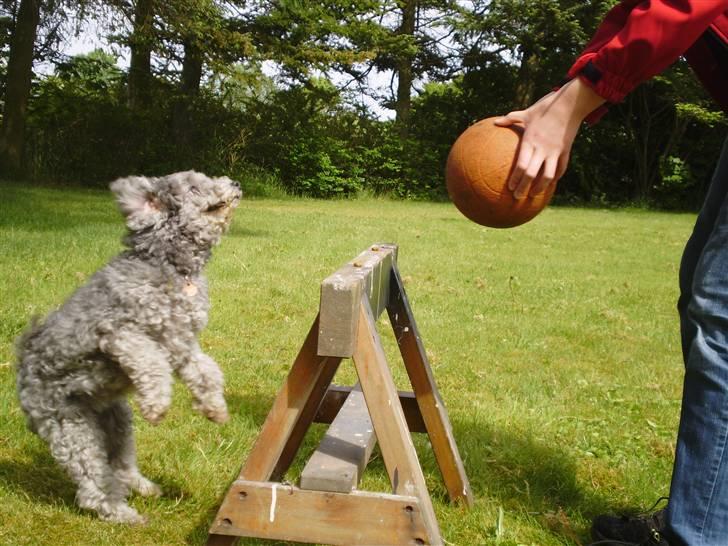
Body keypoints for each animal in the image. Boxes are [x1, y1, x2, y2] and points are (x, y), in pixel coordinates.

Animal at [14, 171, 242, 524]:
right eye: (193, 186)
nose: (234, 184)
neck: (169, 266)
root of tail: (23, 364)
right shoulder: (118, 333)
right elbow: (152, 363)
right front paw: (157, 405)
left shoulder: (182, 344)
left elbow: (206, 373)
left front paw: (214, 407)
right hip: (71, 427)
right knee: (94, 485)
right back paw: (122, 514)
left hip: (117, 419)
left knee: (121, 465)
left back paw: (144, 487)